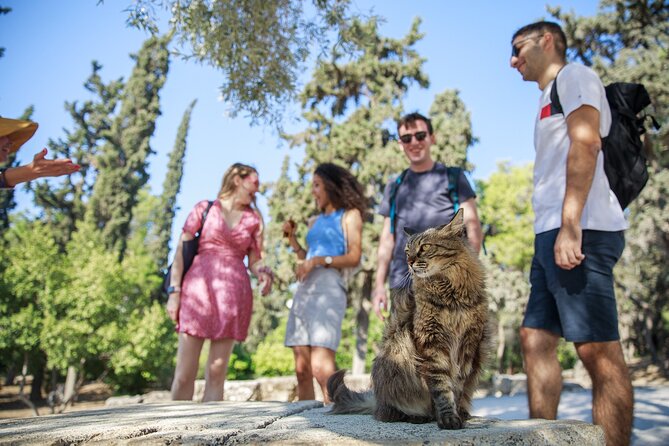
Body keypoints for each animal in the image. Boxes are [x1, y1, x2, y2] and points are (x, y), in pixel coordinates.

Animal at [326, 211, 488, 430]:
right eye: (406, 251)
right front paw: (447, 418)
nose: (409, 262)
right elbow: (441, 387)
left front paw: (457, 415)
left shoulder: (469, 343)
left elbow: (458, 387)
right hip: (395, 354)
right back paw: (417, 416)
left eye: (425, 247)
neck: (450, 293)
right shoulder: (431, 342)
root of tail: (377, 400)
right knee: (387, 413)